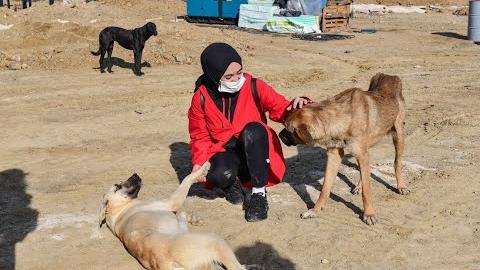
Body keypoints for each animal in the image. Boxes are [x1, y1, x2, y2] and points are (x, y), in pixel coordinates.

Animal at [99, 162, 246, 270]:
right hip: (215, 241)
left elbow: (181, 214)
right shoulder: (171, 202)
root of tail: (167, 264)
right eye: (117, 186)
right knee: (236, 267)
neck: (120, 209)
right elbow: (188, 179)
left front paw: (194, 219)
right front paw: (203, 168)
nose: (135, 174)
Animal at [280, 73, 410, 225]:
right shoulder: (334, 154)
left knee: (396, 162)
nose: (279, 135)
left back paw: (401, 186)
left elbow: (367, 190)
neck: (340, 117)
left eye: (288, 129)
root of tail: (389, 75)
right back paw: (359, 186)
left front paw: (369, 214)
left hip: (398, 134)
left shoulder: (361, 153)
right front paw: (314, 210)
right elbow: (325, 187)